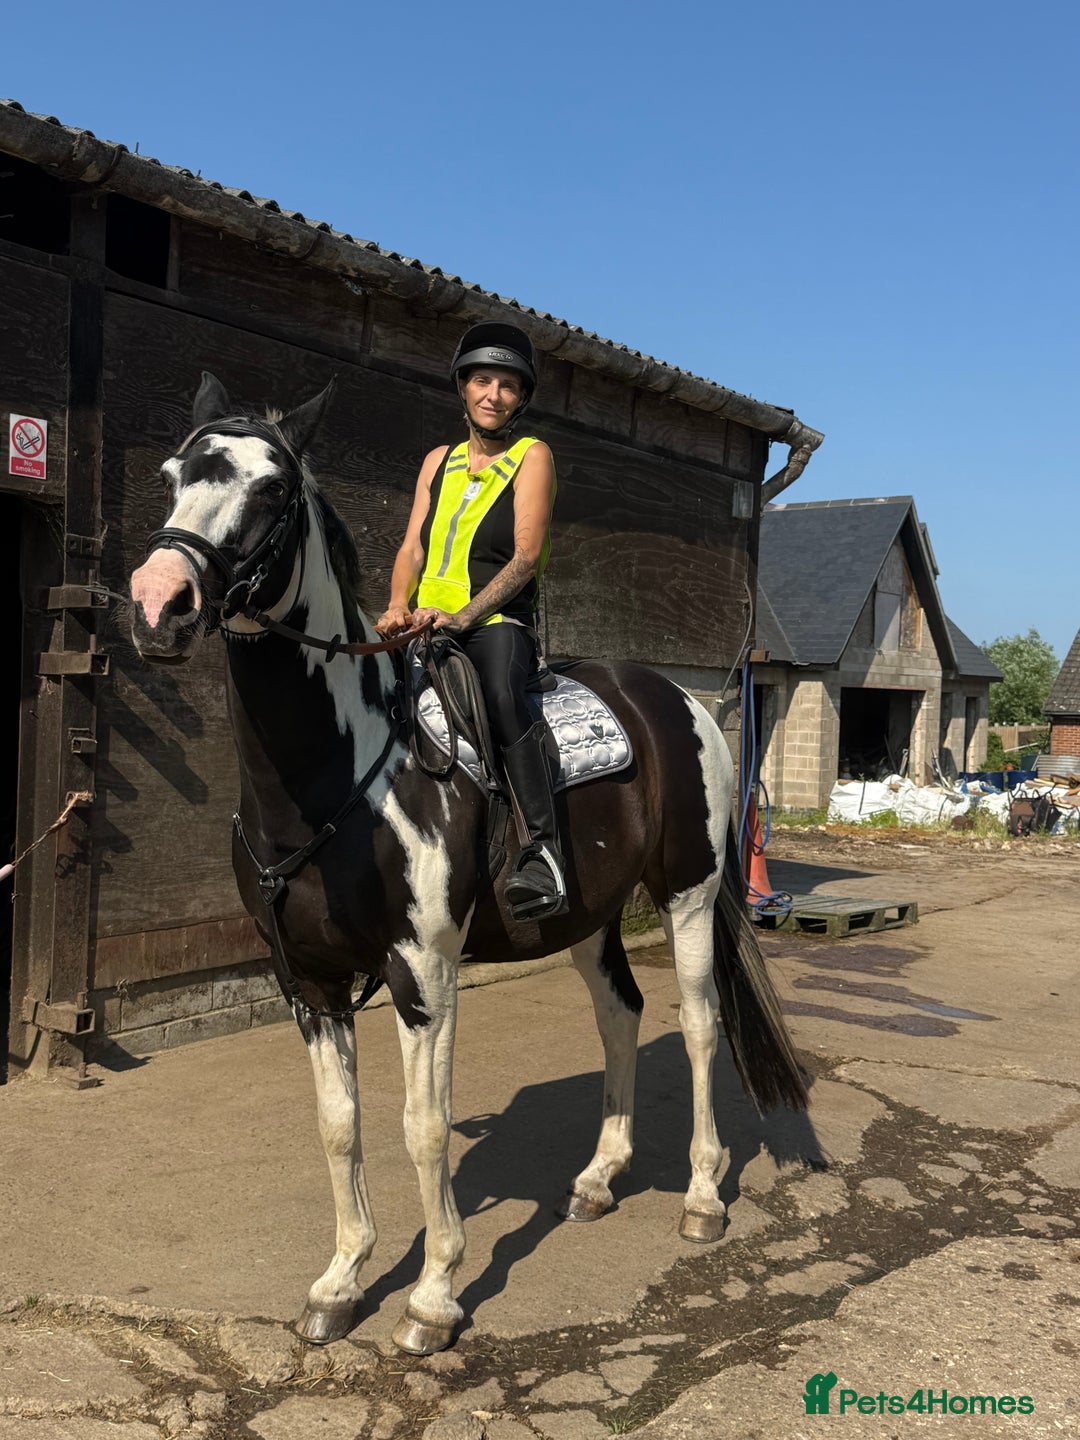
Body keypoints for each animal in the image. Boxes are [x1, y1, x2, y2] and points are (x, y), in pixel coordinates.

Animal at [128, 373, 808, 1355]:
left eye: (274, 490)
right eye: (173, 475)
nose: (159, 603)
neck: (347, 773)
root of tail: (672, 699)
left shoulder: (423, 970)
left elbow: (424, 1127)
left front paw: (434, 1294)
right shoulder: (307, 981)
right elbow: (339, 1126)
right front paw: (341, 1280)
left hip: (687, 894)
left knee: (698, 1023)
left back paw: (704, 1196)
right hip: (587, 916)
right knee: (621, 1014)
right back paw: (598, 1179)